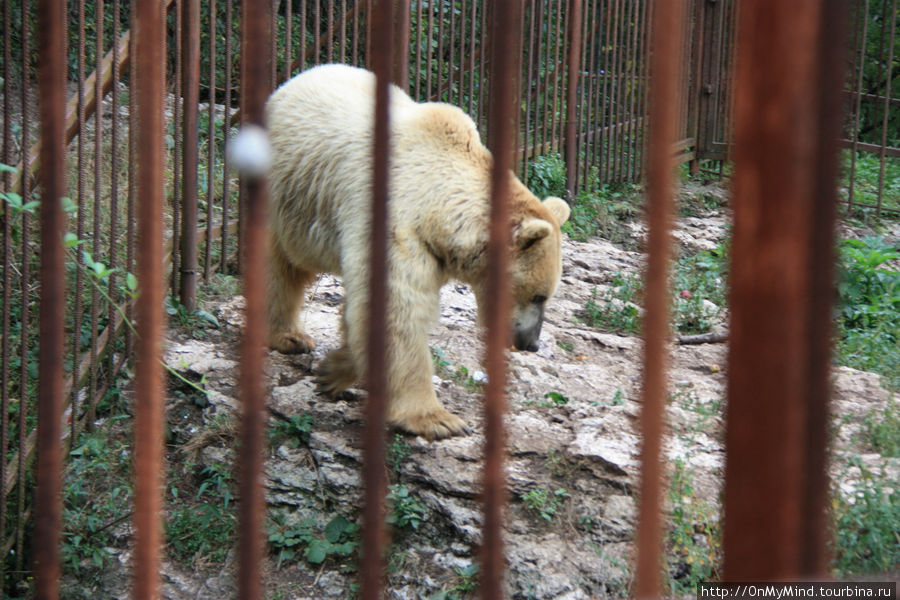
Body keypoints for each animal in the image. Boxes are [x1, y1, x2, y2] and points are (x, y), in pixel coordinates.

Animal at [264, 65, 568, 438]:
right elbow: (396, 309)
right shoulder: (397, 223)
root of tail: (301, 76)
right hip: (287, 194)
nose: (531, 343)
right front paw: (438, 420)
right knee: (283, 263)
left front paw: (334, 369)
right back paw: (288, 335)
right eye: (539, 295)